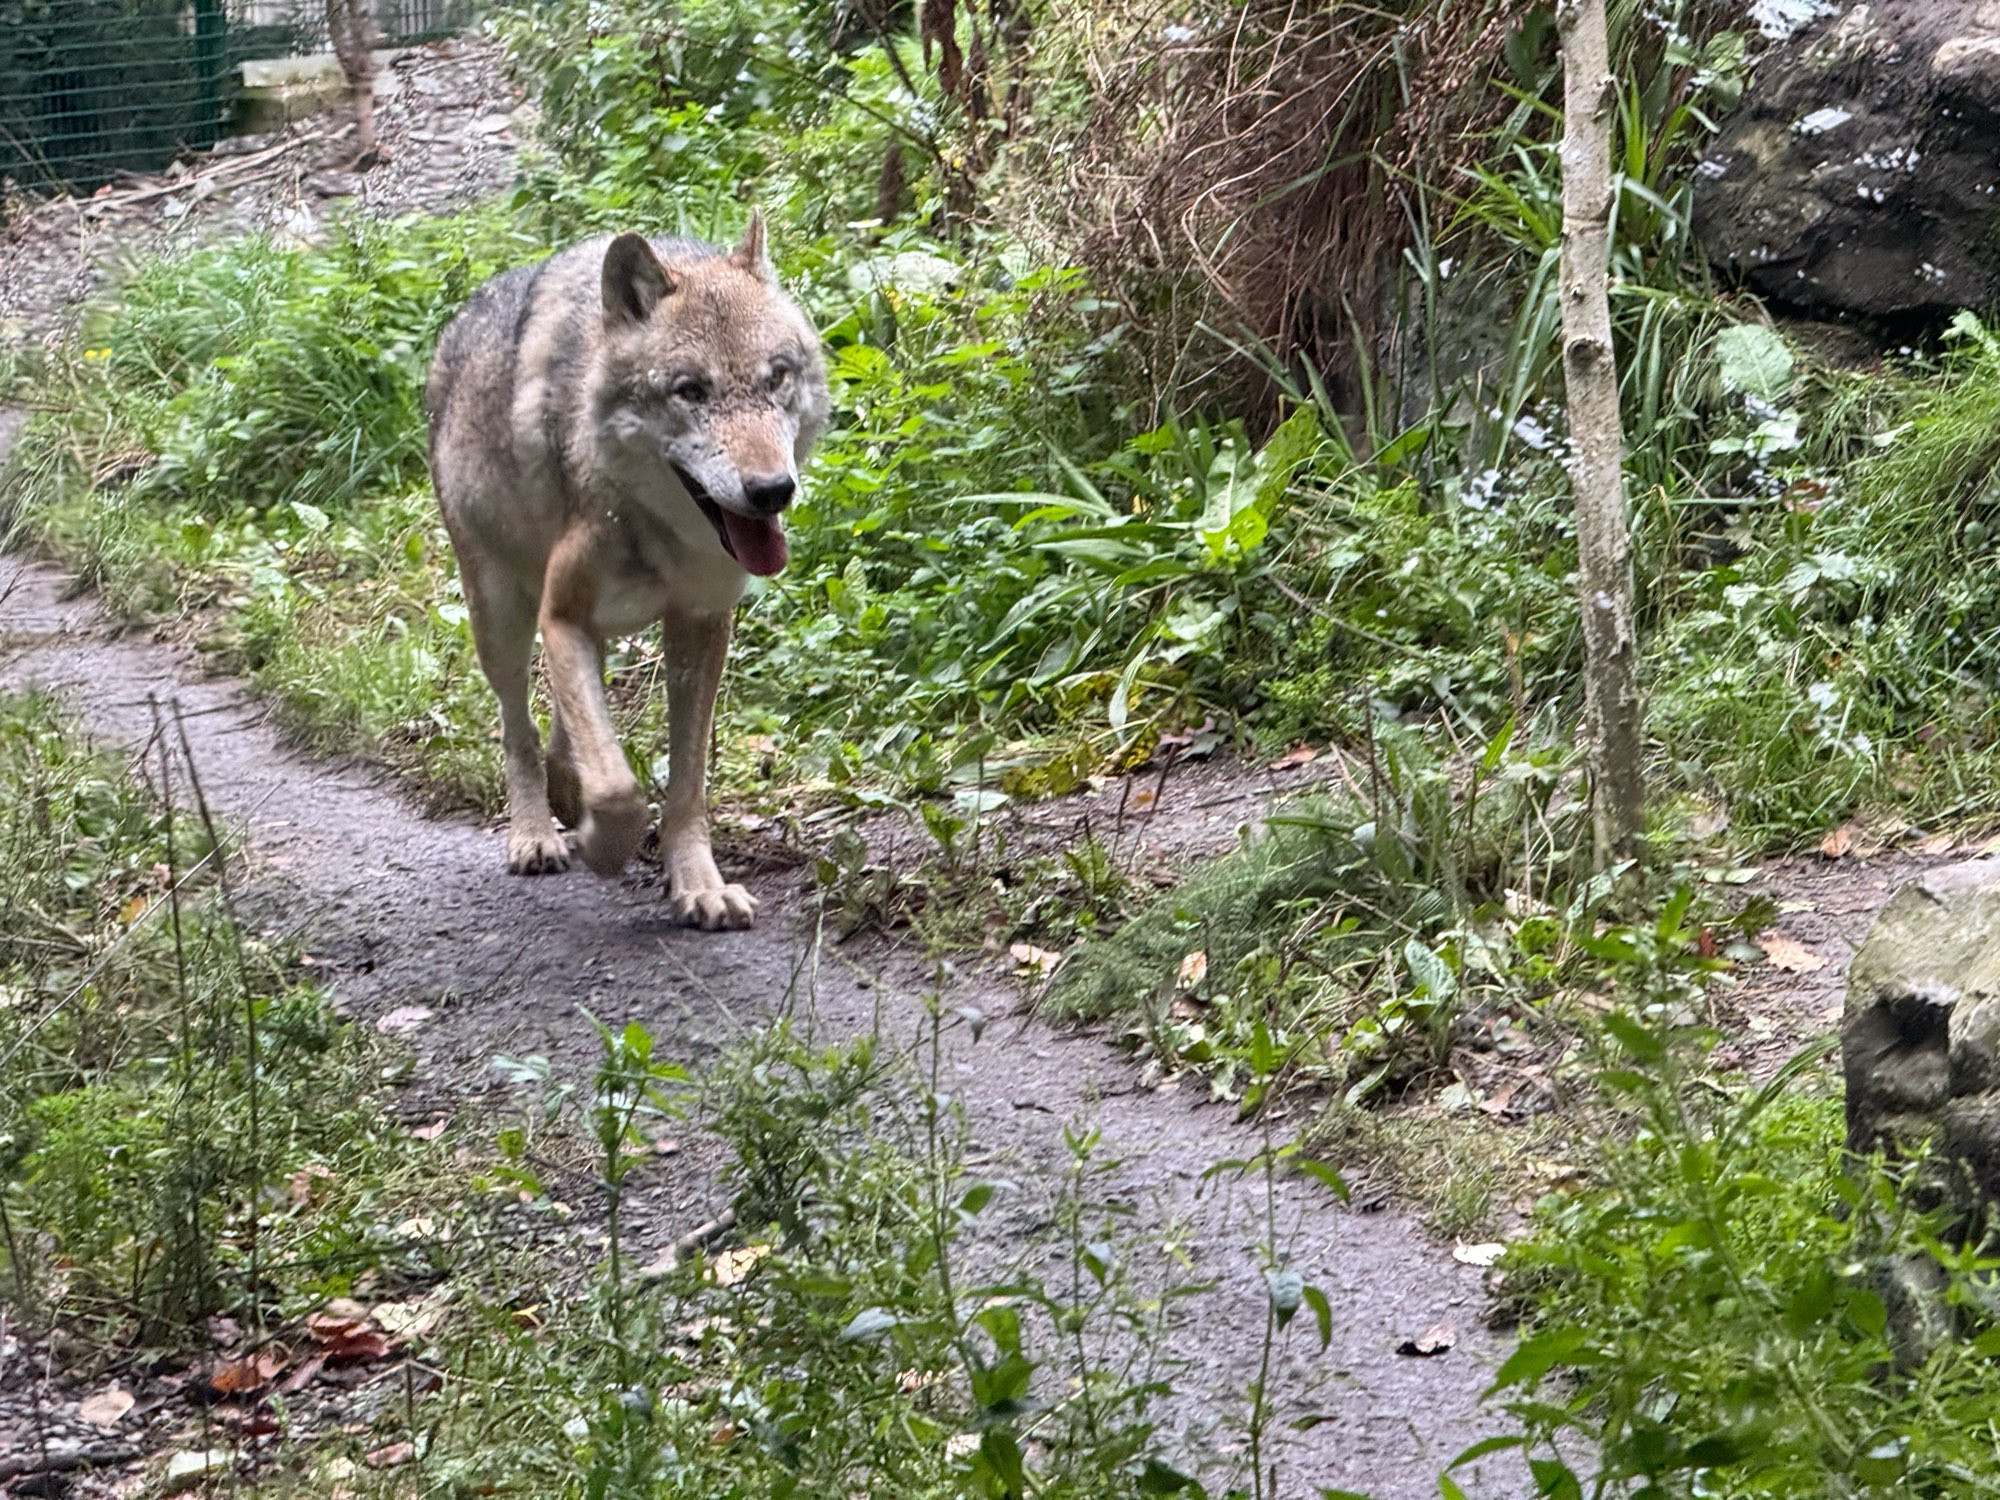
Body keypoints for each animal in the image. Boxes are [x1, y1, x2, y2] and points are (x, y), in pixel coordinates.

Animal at [426, 214, 824, 928]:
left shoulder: (701, 624)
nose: (772, 491)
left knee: (564, 728)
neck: (660, 532)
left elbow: (686, 782)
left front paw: (699, 885)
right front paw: (600, 846)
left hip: (586, 632)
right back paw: (535, 834)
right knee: (520, 727)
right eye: (691, 391)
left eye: (776, 377)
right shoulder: (561, 617)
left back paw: (564, 792)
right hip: (501, 619)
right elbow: (617, 790)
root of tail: (464, 315)